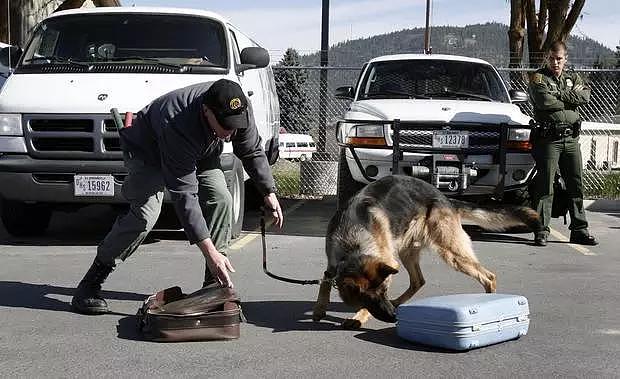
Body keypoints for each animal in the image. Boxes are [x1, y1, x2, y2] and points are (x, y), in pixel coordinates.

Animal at [312, 176, 540, 330]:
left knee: (488, 276)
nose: (394, 317)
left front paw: (358, 317)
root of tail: (445, 198)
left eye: (384, 291)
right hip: (407, 251)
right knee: (418, 281)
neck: (354, 244)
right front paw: (319, 309)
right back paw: (398, 301)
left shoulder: (386, 263)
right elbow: (324, 281)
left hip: (450, 252)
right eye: (369, 297)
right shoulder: (333, 264)